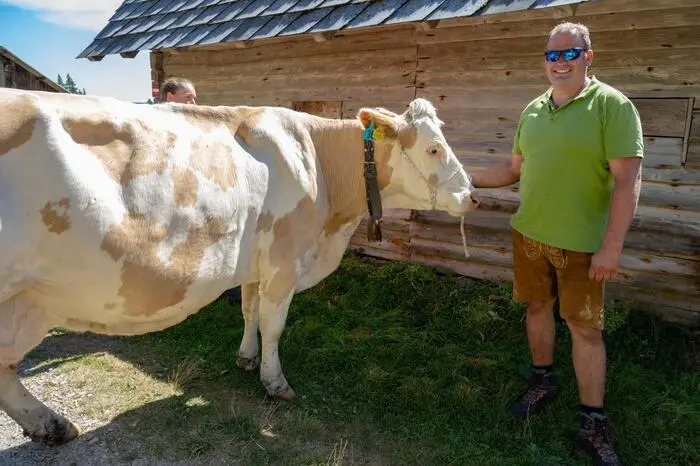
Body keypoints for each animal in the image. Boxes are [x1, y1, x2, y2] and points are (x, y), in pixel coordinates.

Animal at [0, 87, 479, 445]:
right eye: (434, 148)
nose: (472, 196)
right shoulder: (285, 263)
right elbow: (274, 324)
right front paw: (275, 382)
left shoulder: (254, 265)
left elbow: (249, 312)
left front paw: (246, 359)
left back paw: (51, 425)